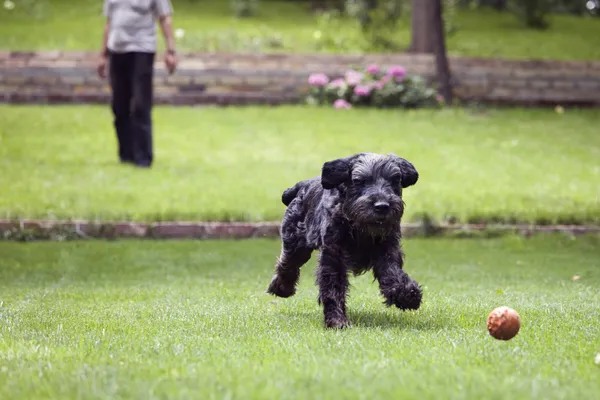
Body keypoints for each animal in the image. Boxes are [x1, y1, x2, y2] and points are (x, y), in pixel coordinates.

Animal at [268, 152, 422, 328]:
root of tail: (301, 187)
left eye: (395, 179)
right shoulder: (334, 255)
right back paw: (281, 288)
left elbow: (393, 273)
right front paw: (337, 320)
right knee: (287, 264)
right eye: (359, 180)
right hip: (296, 245)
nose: (382, 206)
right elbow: (332, 288)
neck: (359, 229)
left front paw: (407, 294)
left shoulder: (387, 249)